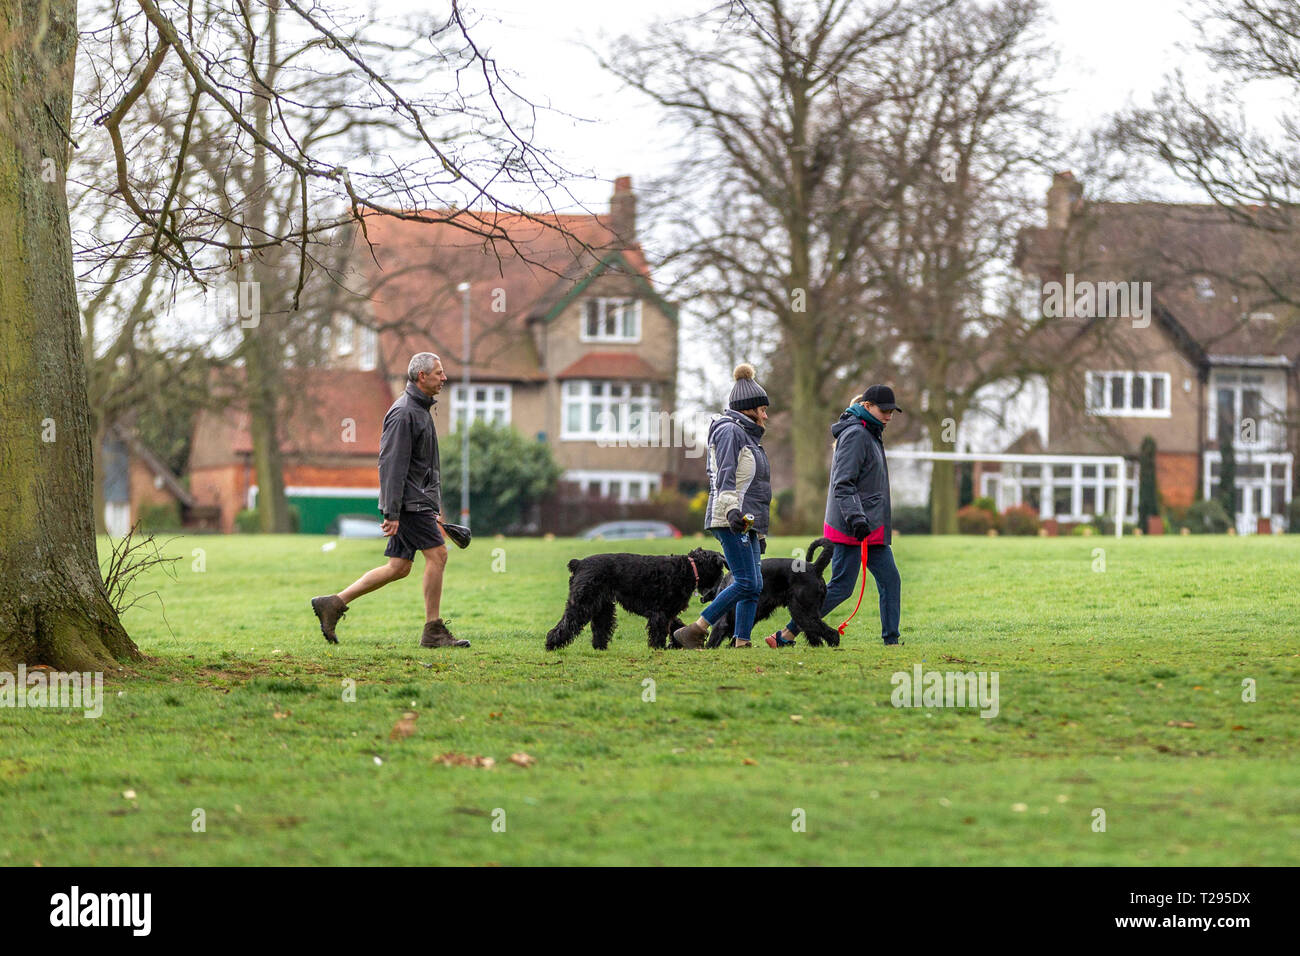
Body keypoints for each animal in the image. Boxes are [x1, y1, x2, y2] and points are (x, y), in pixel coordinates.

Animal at [540, 546, 733, 650]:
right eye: (720, 568)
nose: (720, 588)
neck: (689, 568)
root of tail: (578, 563)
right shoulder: (661, 612)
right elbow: (660, 631)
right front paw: (659, 647)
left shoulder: (668, 612)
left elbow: (676, 625)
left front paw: (678, 641)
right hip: (583, 602)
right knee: (567, 623)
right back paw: (551, 644)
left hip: (602, 606)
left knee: (601, 627)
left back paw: (600, 647)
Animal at [696, 538, 837, 650]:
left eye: (702, 556)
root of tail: (815, 568)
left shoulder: (721, 620)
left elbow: (715, 635)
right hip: (804, 612)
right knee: (812, 631)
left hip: (802, 611)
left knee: (830, 632)